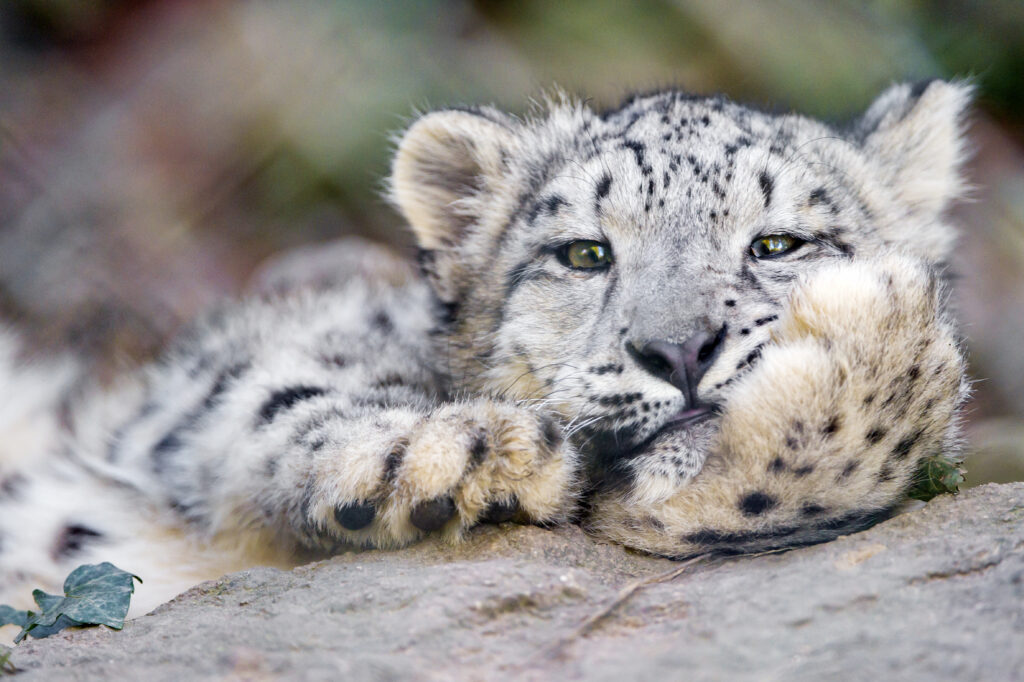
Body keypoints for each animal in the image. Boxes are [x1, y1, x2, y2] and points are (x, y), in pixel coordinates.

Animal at [0, 79, 971, 629]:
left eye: (778, 243)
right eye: (584, 253)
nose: (679, 349)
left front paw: (880, 334)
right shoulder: (210, 384)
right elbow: (280, 391)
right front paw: (453, 454)